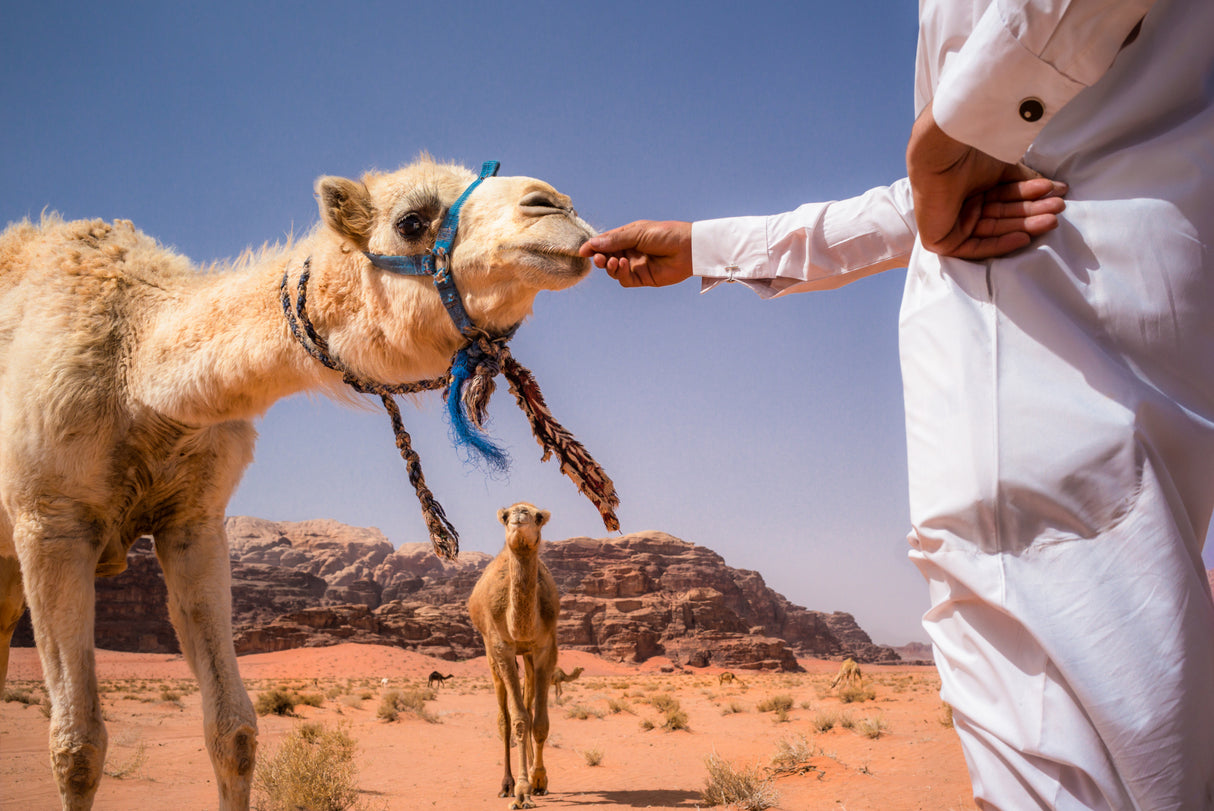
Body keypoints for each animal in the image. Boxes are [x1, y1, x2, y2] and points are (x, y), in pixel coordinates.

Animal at [466, 502, 560, 806]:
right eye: (506, 516)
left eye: (538, 517)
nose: (520, 513)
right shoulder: (501, 647)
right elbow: (518, 721)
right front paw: (521, 791)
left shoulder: (545, 647)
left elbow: (539, 721)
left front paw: (538, 780)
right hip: (489, 653)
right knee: (504, 718)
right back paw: (506, 784)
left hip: (527, 656)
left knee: (529, 705)